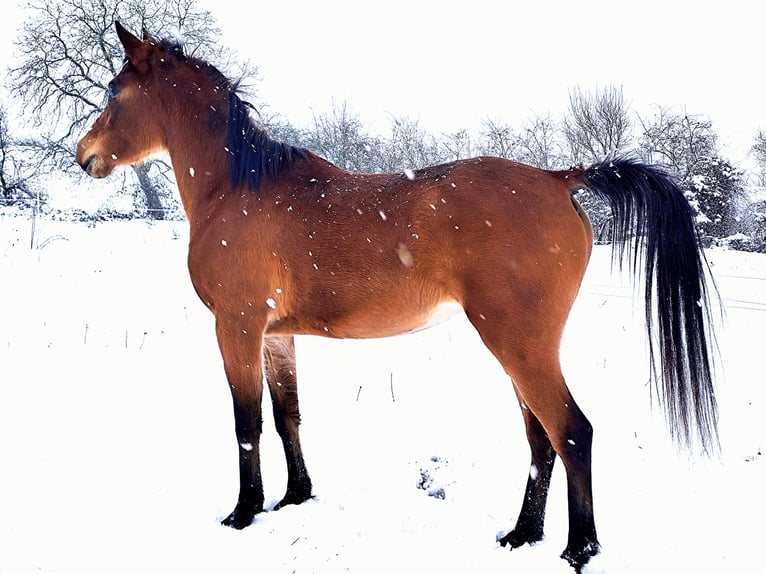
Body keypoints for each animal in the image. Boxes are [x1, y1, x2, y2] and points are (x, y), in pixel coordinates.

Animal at [76, 22, 718, 572]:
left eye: (113, 91)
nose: (84, 156)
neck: (236, 189)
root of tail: (561, 178)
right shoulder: (277, 335)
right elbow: (287, 416)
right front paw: (295, 497)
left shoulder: (236, 327)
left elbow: (246, 421)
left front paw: (243, 512)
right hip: (522, 349)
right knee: (541, 440)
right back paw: (521, 535)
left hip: (520, 345)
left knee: (572, 433)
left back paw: (578, 549)